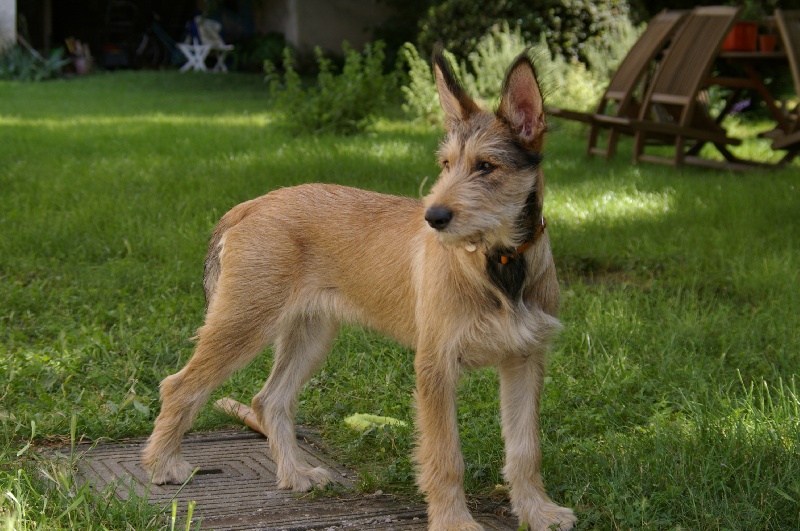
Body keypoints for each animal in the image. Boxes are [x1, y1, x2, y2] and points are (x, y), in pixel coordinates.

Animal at [139, 46, 576, 531]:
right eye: (446, 165)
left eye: (487, 167)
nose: (434, 217)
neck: (500, 266)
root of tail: (252, 204)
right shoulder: (435, 367)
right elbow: (446, 457)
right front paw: (454, 522)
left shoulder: (524, 361)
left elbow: (525, 449)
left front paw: (538, 511)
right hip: (242, 323)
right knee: (180, 386)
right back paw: (163, 466)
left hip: (310, 334)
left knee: (269, 400)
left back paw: (296, 474)